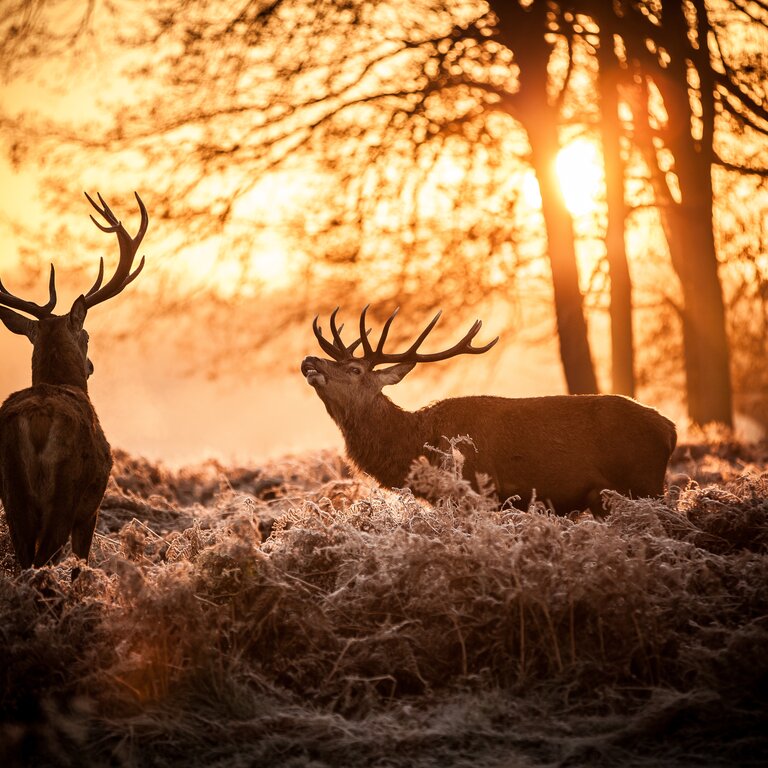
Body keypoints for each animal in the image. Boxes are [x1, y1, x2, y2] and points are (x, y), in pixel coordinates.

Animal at [0, 192, 148, 568]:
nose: (91, 365)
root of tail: (38, 421)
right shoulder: (90, 508)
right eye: (87, 336)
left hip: (11, 493)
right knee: (43, 560)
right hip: (65, 494)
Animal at [304, 306, 676, 516]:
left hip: (644, 484)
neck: (417, 445)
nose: (310, 359)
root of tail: (670, 430)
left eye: (355, 369)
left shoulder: (474, 490)